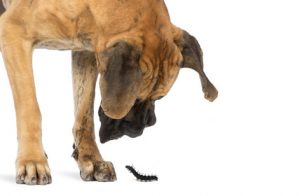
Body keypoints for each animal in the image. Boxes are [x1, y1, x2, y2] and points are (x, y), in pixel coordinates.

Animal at [0, 0, 217, 185]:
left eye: (160, 97)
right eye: (134, 99)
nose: (143, 126)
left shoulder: (86, 53)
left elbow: (84, 116)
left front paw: (91, 159)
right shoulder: (13, 33)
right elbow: (30, 110)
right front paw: (32, 160)